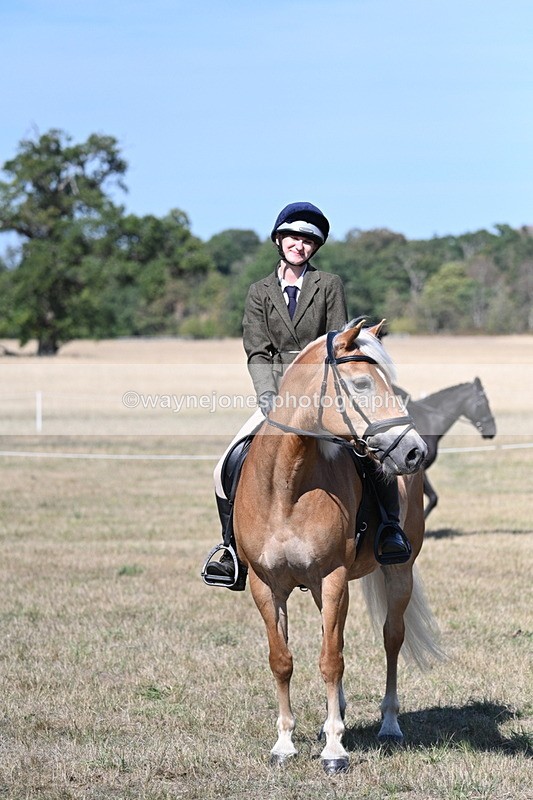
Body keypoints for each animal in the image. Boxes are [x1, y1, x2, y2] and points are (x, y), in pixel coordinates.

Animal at [233, 319, 444, 774]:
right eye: (362, 383)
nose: (415, 451)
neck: (287, 485)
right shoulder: (266, 585)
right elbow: (282, 660)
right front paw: (284, 743)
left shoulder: (333, 578)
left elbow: (331, 659)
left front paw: (334, 749)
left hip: (397, 572)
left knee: (391, 638)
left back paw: (389, 725)